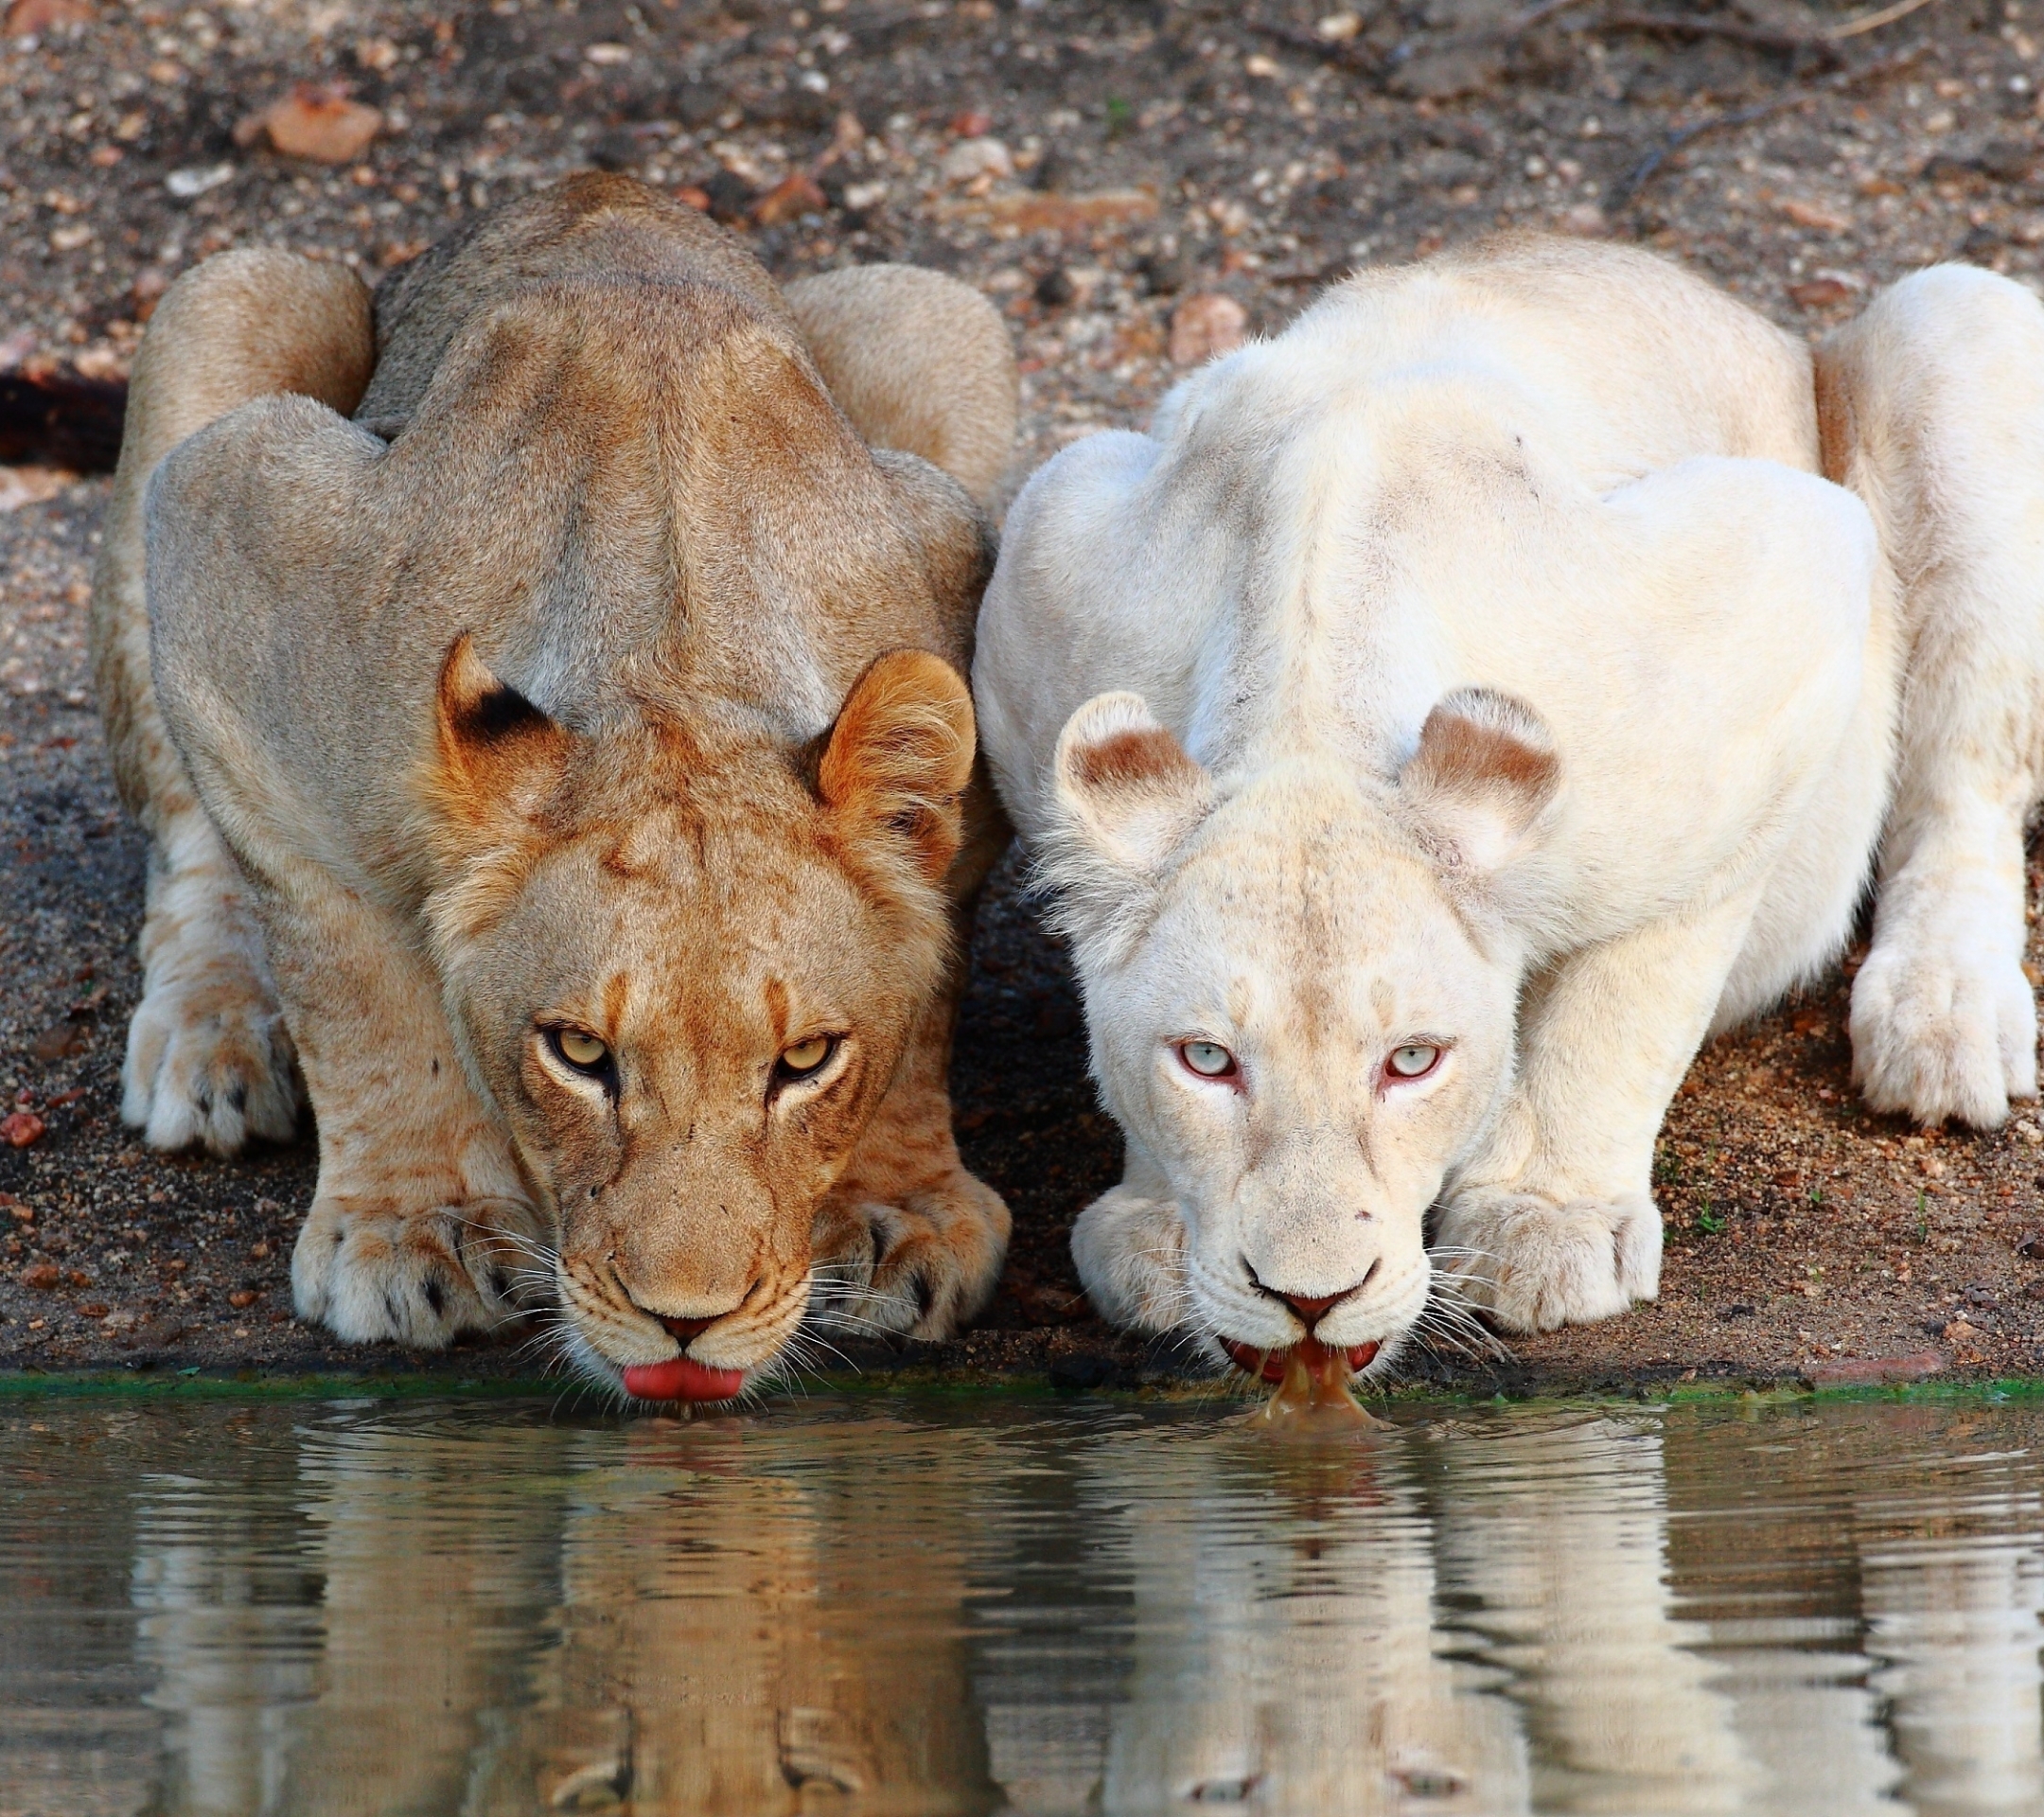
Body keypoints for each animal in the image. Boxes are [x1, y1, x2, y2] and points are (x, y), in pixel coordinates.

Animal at [977, 234, 2044, 1365]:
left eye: (1412, 1061)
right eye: (1207, 1060)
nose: (1310, 1301)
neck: (1309, 700)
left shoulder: (1785, 599)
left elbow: (1628, 998)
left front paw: (1544, 1224)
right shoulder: (1042, 566)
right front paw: (1154, 1230)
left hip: (1954, 326)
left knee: (1967, 773)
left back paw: (1945, 1024)